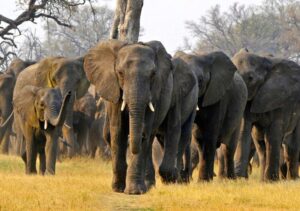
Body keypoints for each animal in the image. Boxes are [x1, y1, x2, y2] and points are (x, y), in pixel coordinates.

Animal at [83, 39, 175, 195]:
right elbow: (118, 131)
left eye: (153, 74)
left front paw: (134, 191)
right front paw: (118, 188)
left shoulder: (154, 95)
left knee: (150, 139)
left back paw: (147, 186)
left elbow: (145, 131)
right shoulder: (114, 91)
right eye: (120, 73)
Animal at [175, 50, 247, 181]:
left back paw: (230, 179)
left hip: (239, 114)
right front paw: (204, 180)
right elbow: (199, 139)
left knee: (228, 148)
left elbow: (209, 135)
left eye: (201, 80)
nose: (183, 175)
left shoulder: (217, 96)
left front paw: (203, 181)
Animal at [233, 48, 300, 181]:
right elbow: (244, 130)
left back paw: (292, 179)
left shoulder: (279, 99)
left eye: (250, 78)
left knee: (291, 146)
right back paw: (263, 180)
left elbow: (273, 134)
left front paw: (272, 180)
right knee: (261, 144)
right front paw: (239, 179)